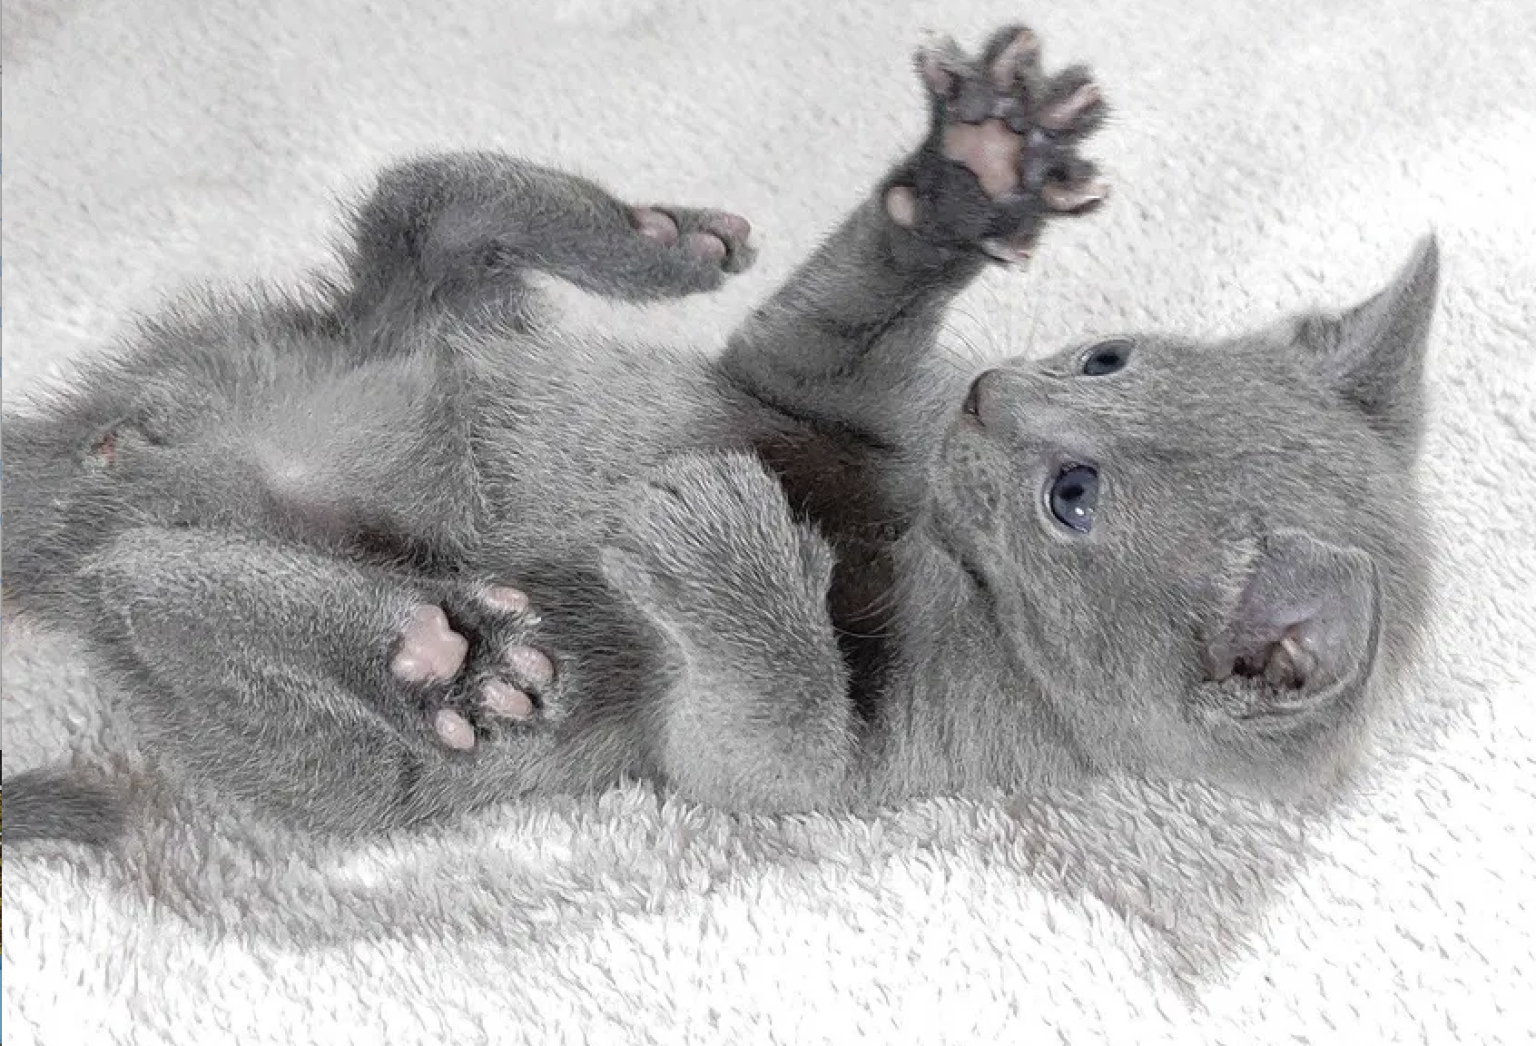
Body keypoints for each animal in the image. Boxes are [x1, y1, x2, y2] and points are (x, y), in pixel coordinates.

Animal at [3, 24, 1437, 841]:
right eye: (1105, 354)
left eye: (1072, 495)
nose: (989, 397)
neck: (925, 519)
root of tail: (110, 463)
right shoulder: (806, 387)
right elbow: (808, 333)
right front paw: (969, 175)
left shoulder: (828, 771)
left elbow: (767, 732)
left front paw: (719, 539)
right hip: (407, 320)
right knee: (428, 203)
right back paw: (649, 239)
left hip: (346, 764)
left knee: (148, 586)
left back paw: (432, 651)